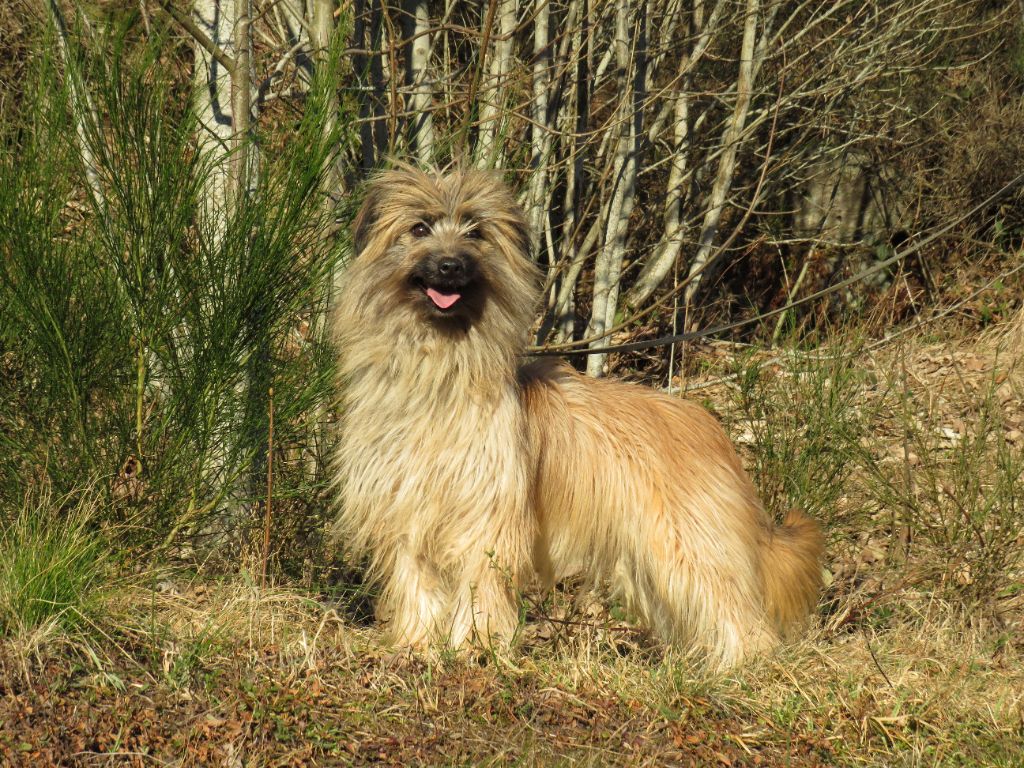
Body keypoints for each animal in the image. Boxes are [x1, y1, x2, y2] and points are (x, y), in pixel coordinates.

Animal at [331, 166, 827, 667]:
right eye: (419, 228)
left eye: (476, 232)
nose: (451, 265)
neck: (440, 372)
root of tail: (711, 427)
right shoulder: (405, 511)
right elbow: (416, 581)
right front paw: (416, 645)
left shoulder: (487, 516)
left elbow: (480, 583)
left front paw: (475, 647)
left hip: (690, 544)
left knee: (734, 609)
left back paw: (739, 666)